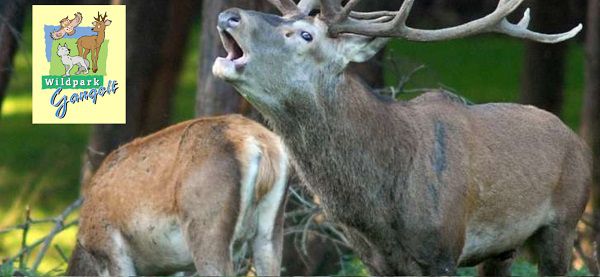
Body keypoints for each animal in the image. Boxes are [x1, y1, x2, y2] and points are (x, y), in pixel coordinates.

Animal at [212, 1, 592, 274]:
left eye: (306, 35)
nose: (229, 15)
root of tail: (580, 143)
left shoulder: (444, 249)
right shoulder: (374, 260)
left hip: (564, 223)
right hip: (503, 248)